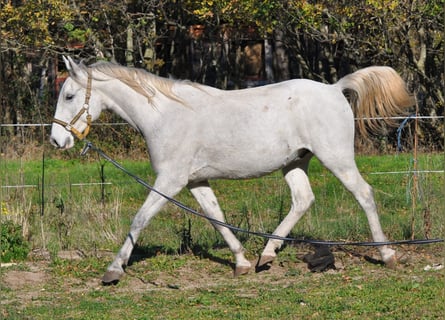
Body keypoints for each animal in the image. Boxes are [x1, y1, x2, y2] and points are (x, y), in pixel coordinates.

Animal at [51, 56, 412, 284]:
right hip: (295, 161)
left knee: (363, 194)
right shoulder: (195, 181)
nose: (57, 140)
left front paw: (113, 270)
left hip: (336, 157)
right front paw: (241, 263)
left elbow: (139, 219)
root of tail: (334, 88)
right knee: (302, 200)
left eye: (69, 95)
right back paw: (266, 256)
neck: (164, 115)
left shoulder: (170, 180)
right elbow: (217, 218)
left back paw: (387, 254)